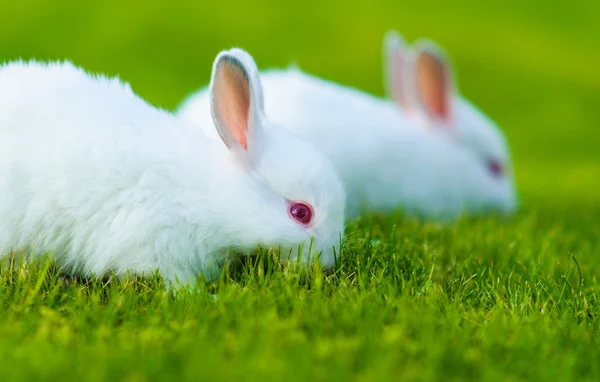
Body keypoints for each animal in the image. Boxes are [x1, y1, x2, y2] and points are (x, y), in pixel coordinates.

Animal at [0, 48, 346, 286]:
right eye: (300, 213)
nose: (328, 265)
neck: (208, 195)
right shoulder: (152, 243)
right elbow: (173, 278)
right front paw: (199, 295)